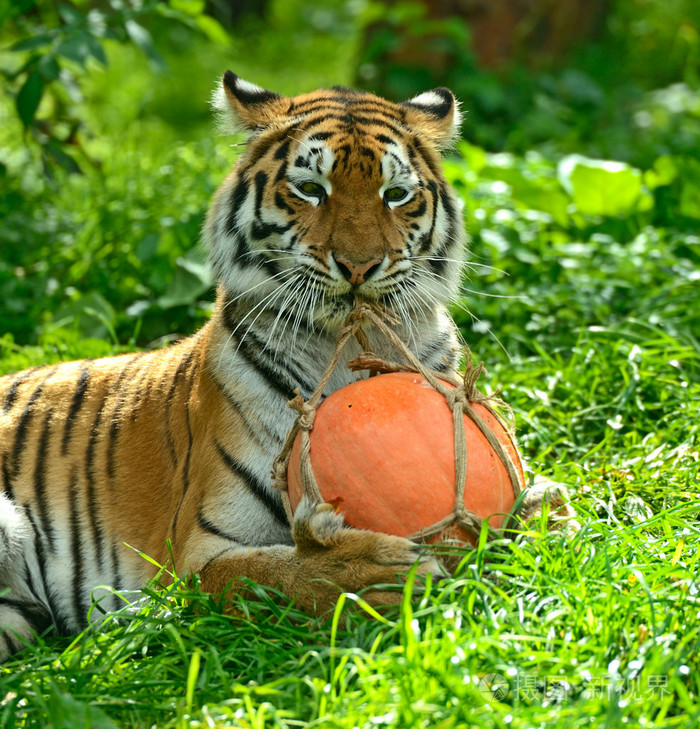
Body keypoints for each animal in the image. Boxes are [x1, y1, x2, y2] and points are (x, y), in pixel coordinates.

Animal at [0, 72, 573, 659]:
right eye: (311, 189)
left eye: (395, 194)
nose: (360, 266)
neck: (348, 348)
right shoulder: (199, 554)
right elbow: (269, 575)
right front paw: (374, 575)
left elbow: (552, 507)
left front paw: (548, 512)